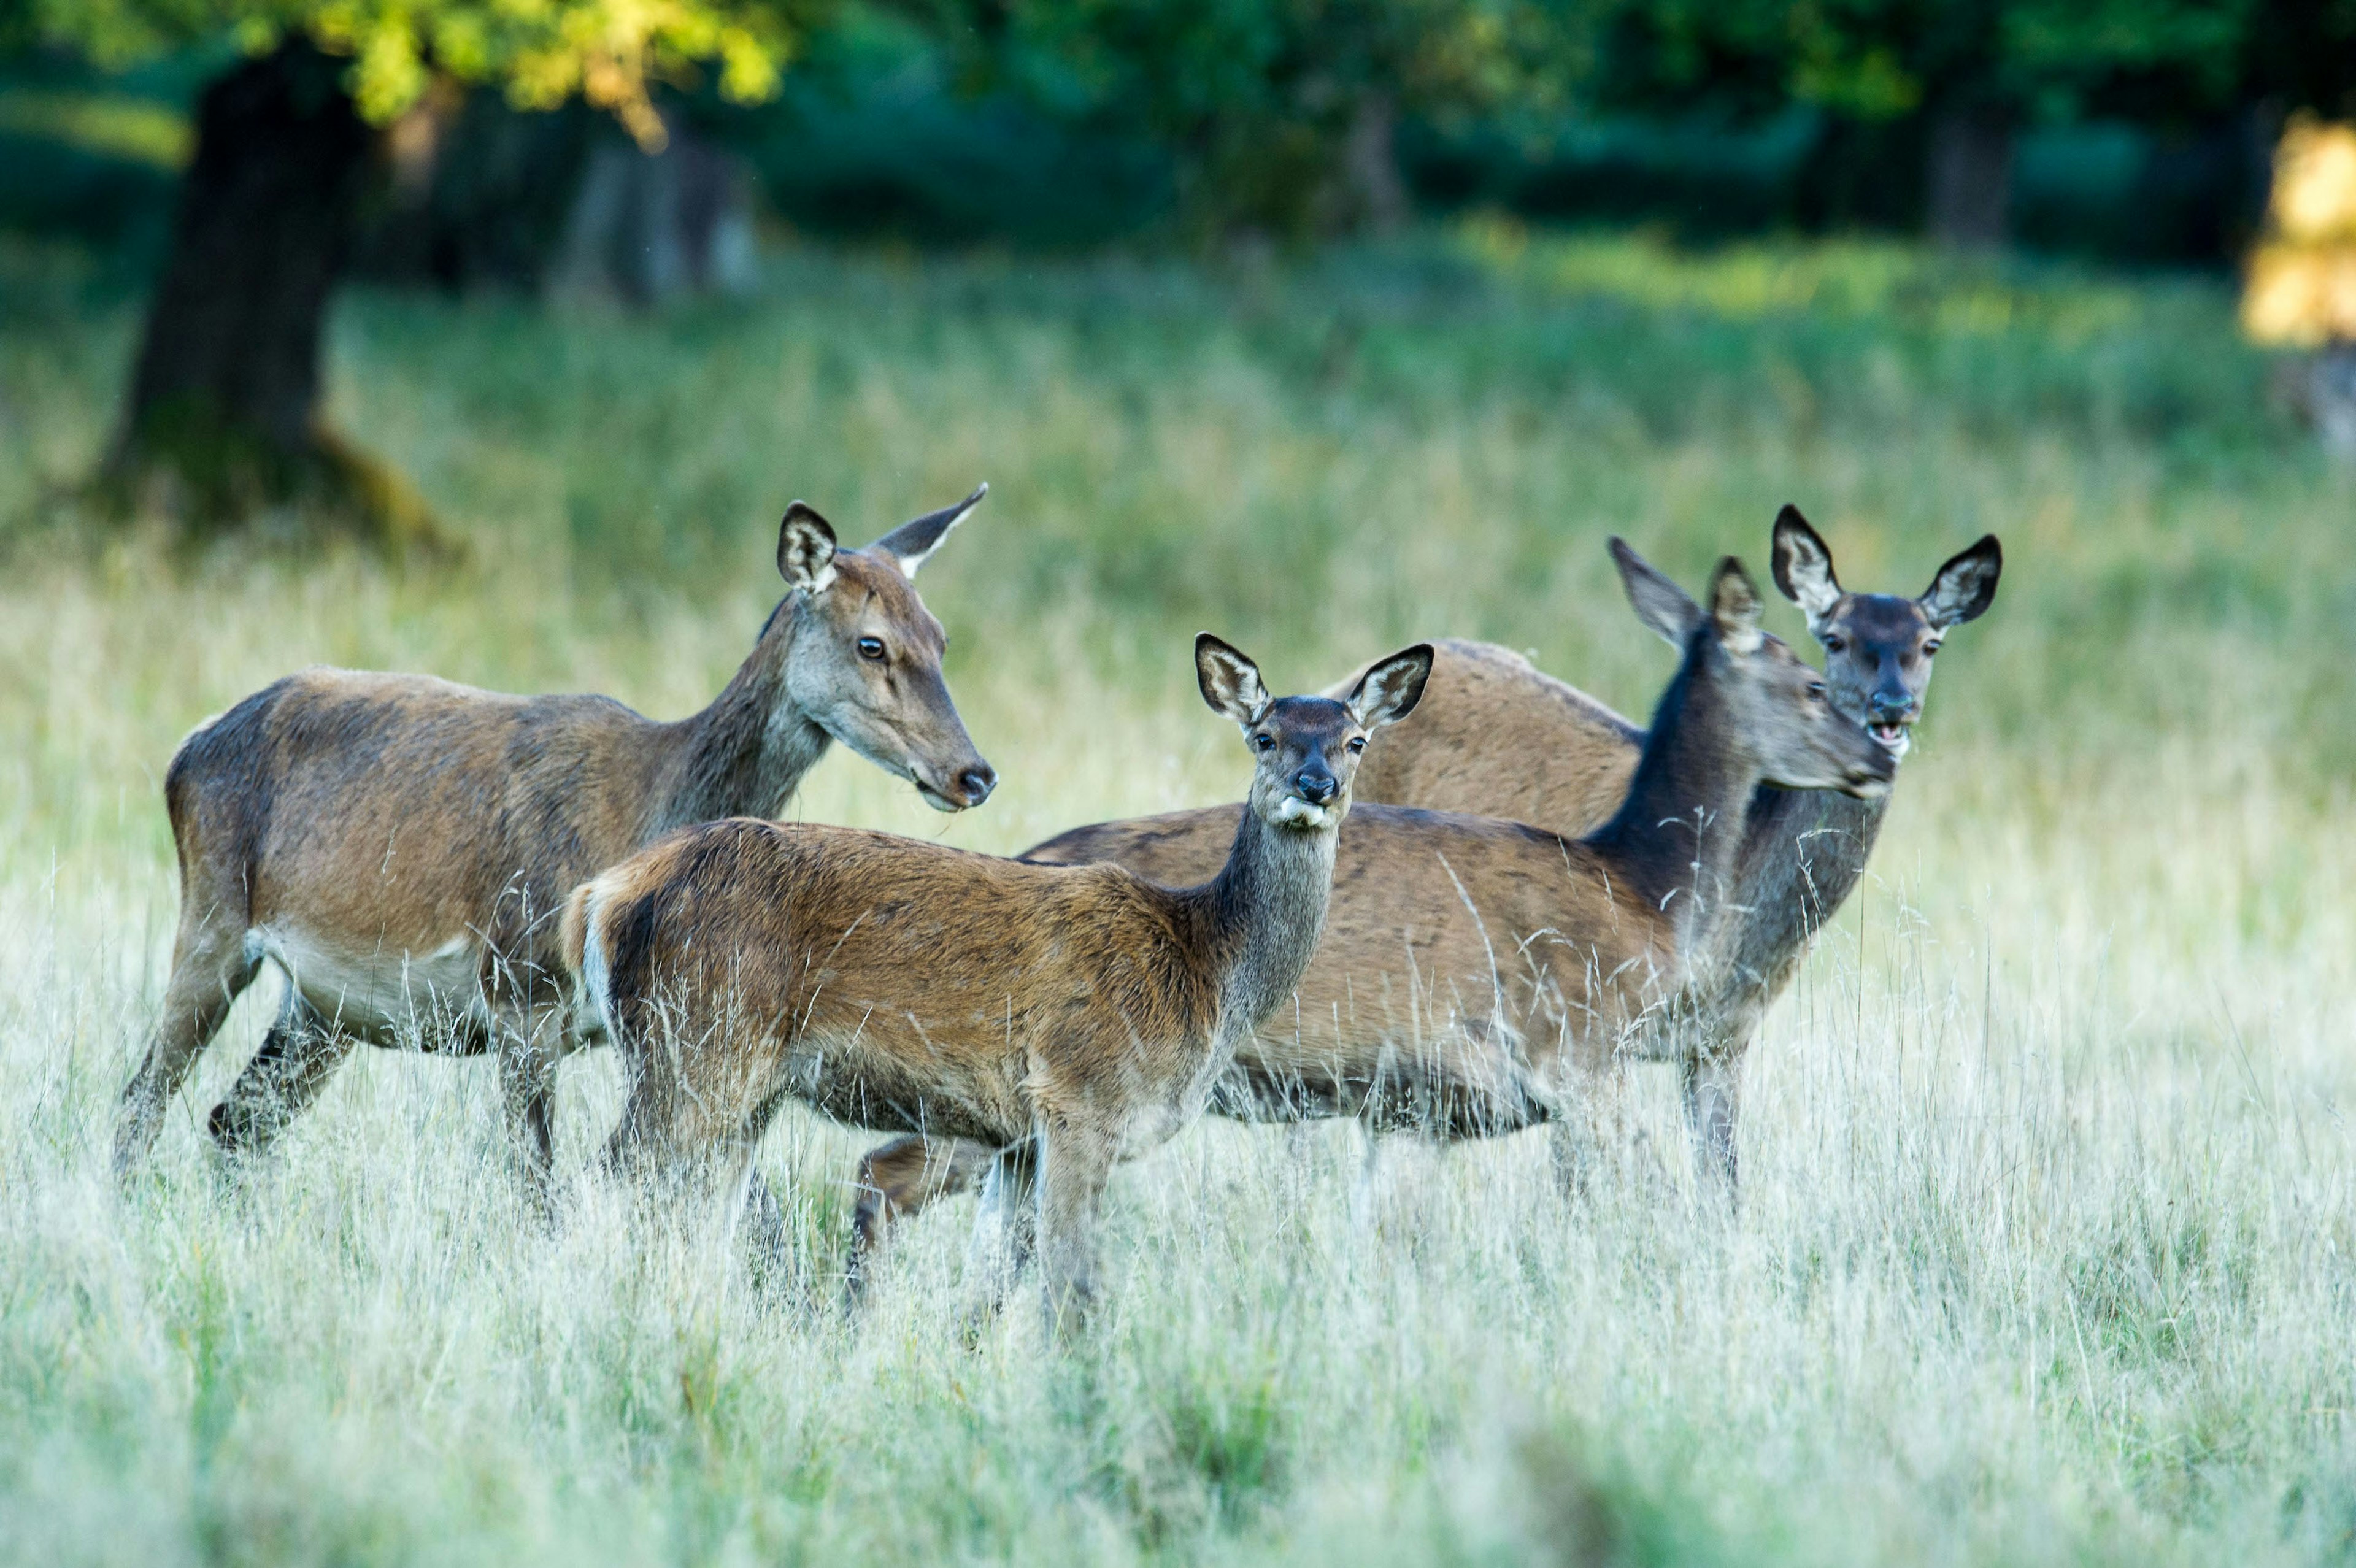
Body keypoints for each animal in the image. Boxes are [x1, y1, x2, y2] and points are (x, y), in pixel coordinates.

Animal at [112, 482, 1003, 1191]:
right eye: (871, 643)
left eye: (942, 638)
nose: (974, 773)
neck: (645, 804)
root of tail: (189, 747)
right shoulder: (519, 990)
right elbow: (534, 1186)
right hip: (213, 916)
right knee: (140, 1098)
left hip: (325, 1008)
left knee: (237, 1118)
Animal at [565, 631, 1432, 1328]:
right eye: (1264, 736)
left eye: (1355, 741)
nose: (1315, 787)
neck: (1208, 971)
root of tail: (604, 897)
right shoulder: (1082, 1096)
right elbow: (1071, 1289)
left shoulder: (1017, 1139)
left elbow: (987, 1288)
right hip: (696, 1040)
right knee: (601, 1179)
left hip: (737, 1081)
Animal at [839, 537, 1903, 1280]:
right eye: (1816, 679)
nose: (1882, 751)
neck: (1640, 885)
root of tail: (1029, 856)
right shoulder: (1580, 1052)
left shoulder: (1417, 1109)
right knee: (882, 1176)